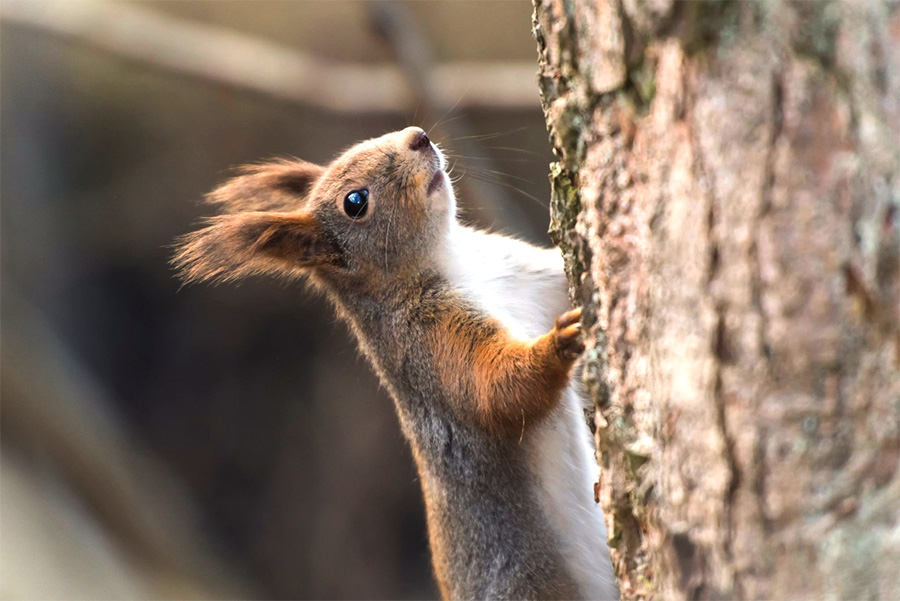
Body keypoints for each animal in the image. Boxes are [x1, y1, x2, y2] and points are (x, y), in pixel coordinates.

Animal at [174, 127, 620, 600]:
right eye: (355, 202)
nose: (418, 137)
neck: (455, 259)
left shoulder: (523, 270)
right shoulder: (428, 344)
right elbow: (495, 390)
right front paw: (561, 342)